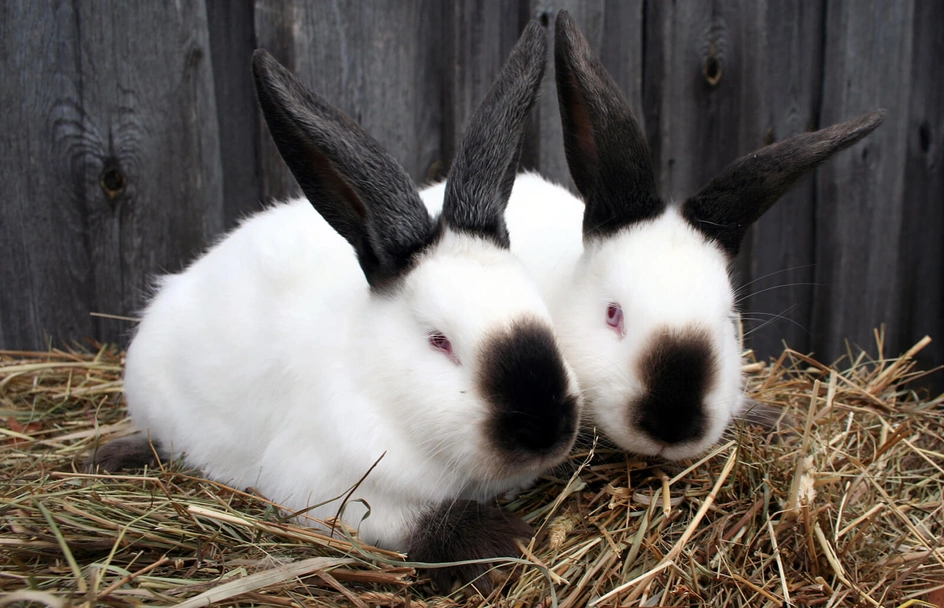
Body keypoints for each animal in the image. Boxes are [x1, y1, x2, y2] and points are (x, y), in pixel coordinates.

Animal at [89, 20, 582, 592]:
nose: (546, 427)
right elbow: (417, 521)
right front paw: (503, 544)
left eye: (542, 311)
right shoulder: (332, 488)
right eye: (439, 342)